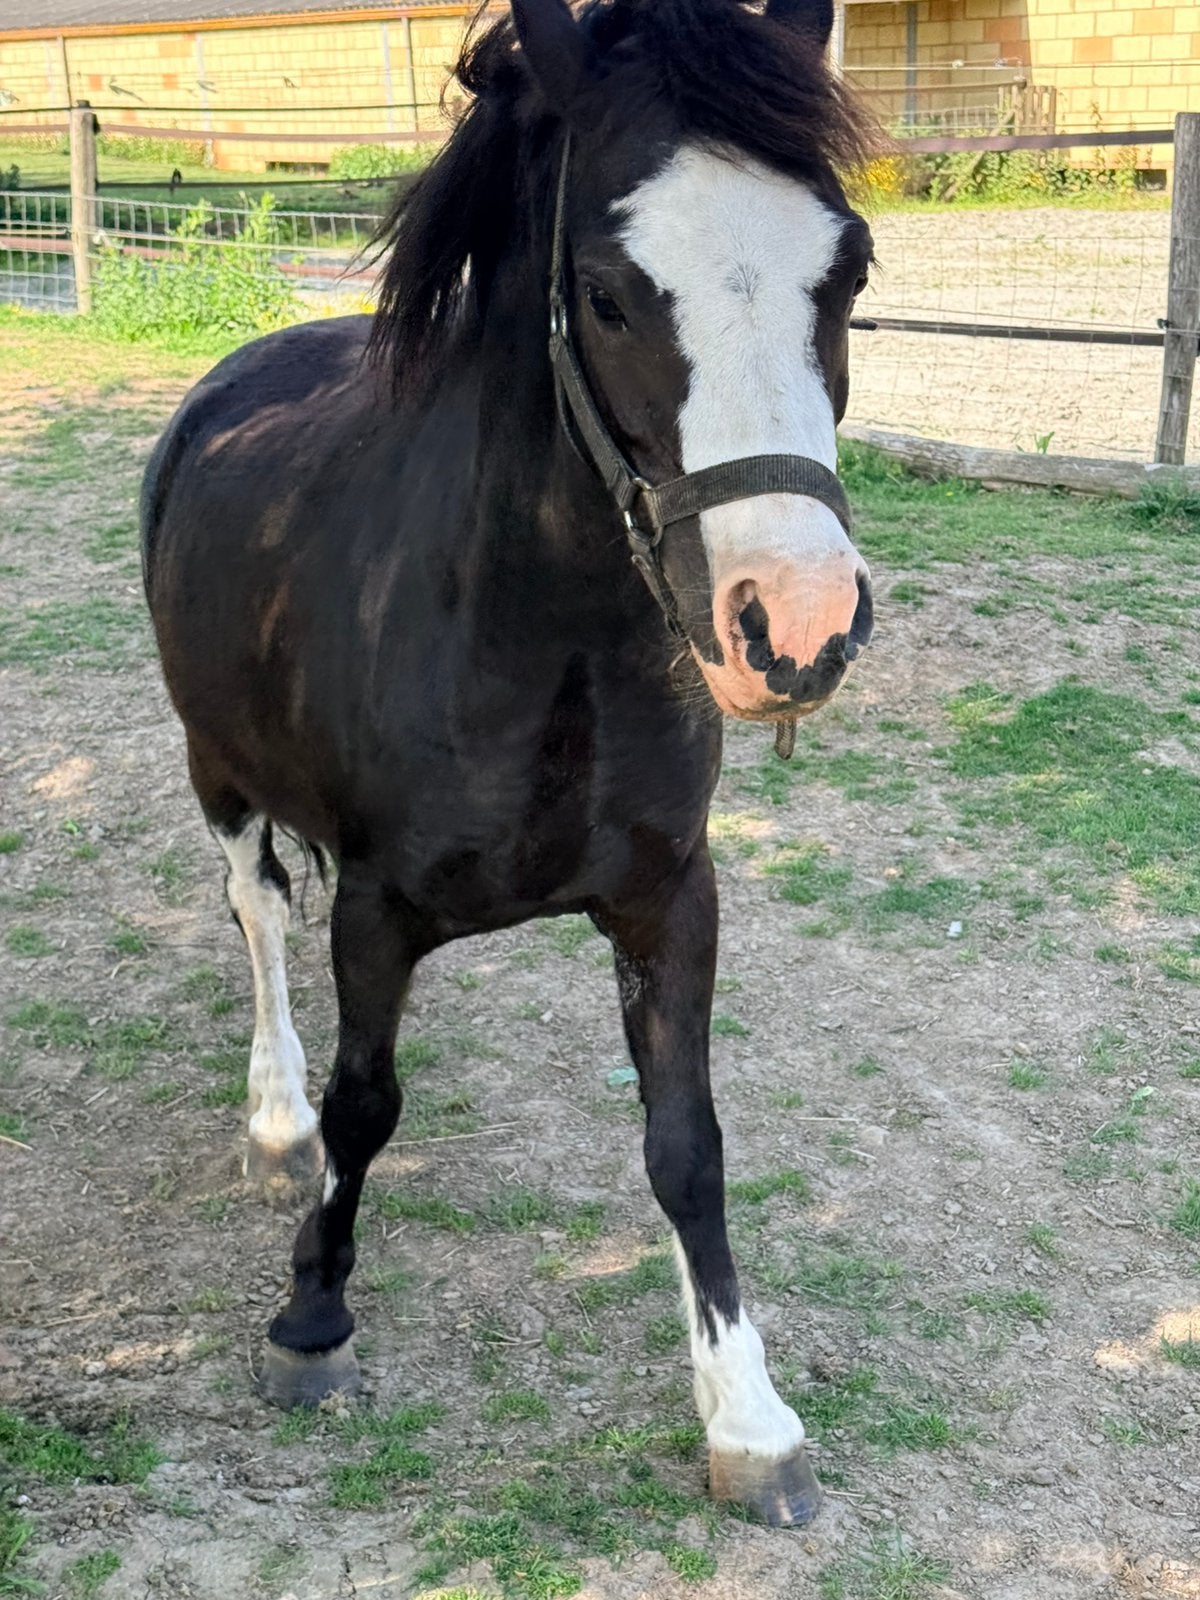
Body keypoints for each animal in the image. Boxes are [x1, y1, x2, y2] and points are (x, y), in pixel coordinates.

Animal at [140, 0, 876, 1527]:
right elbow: (368, 1105)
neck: (543, 644)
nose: (796, 626)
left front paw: (749, 1416)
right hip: (215, 770)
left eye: (847, 268)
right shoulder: (372, 909)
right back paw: (274, 1122)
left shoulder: (671, 900)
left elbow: (688, 1142)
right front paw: (312, 1316)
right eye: (605, 293)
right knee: (255, 917)